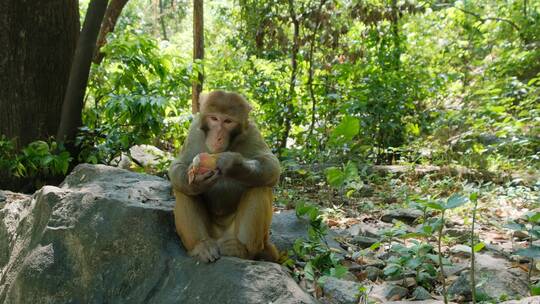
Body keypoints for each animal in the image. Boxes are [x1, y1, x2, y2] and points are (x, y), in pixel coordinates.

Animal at [169, 89, 280, 262]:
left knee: (260, 187)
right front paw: (196, 183)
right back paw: (202, 246)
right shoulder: (194, 131)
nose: (218, 136)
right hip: (211, 233)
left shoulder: (253, 132)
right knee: (183, 191)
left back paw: (241, 250)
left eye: (228, 121)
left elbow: (272, 165)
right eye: (214, 118)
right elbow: (177, 166)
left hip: (244, 237)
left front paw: (234, 165)